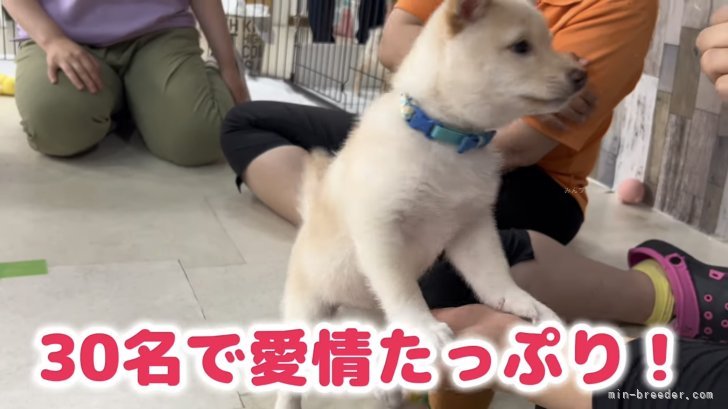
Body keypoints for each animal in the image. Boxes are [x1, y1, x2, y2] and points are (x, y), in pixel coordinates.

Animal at [275, 0, 586, 407]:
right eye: (521, 47)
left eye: (549, 42)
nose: (582, 75)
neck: (449, 140)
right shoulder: (381, 230)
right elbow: (405, 290)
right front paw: (423, 326)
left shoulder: (473, 230)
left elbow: (494, 276)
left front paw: (520, 301)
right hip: (309, 307)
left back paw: (387, 386)